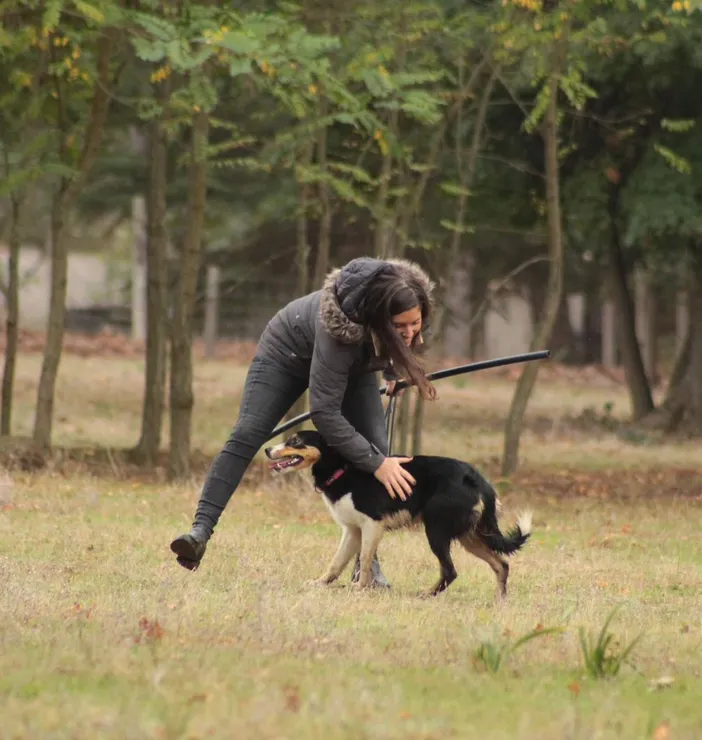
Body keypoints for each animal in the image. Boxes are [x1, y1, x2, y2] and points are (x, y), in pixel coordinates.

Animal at [266, 430, 532, 600]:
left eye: (295, 440)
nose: (268, 449)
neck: (341, 469)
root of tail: (477, 480)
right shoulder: (352, 530)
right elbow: (337, 563)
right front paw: (320, 584)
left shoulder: (372, 525)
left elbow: (365, 561)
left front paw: (359, 590)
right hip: (470, 537)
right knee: (501, 564)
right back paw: (499, 602)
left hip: (436, 531)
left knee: (450, 571)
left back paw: (427, 595)